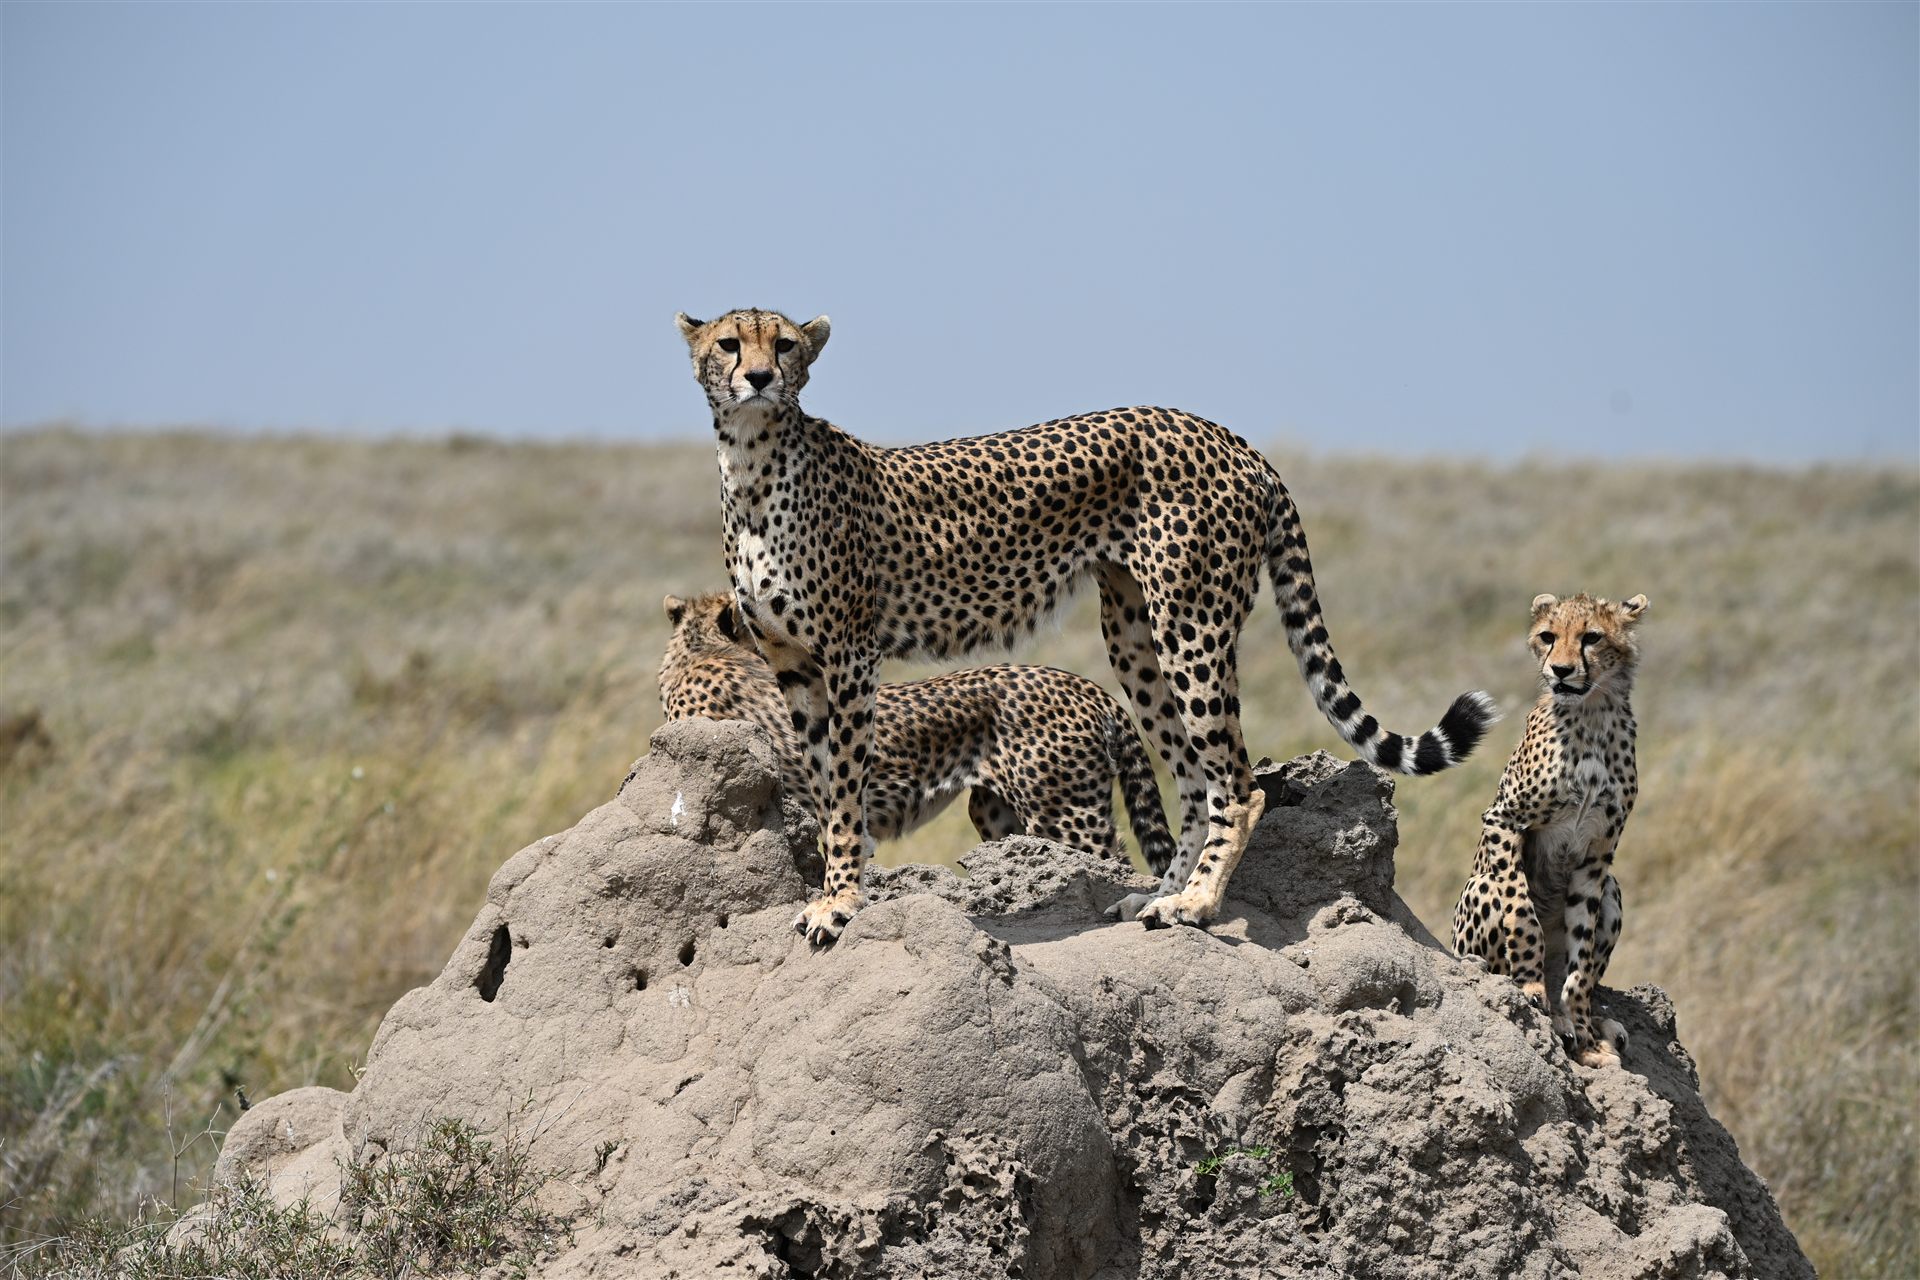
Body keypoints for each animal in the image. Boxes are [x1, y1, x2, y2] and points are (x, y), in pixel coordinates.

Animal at [1452, 592, 1649, 1067]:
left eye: (1591, 637)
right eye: (1548, 636)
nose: (1560, 670)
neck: (1592, 714)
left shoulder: (1598, 856)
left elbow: (1580, 965)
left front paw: (1583, 1032)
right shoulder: (1503, 818)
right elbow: (1522, 911)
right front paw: (1529, 984)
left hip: (1613, 888)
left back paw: (1587, 1024)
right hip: (1479, 888)